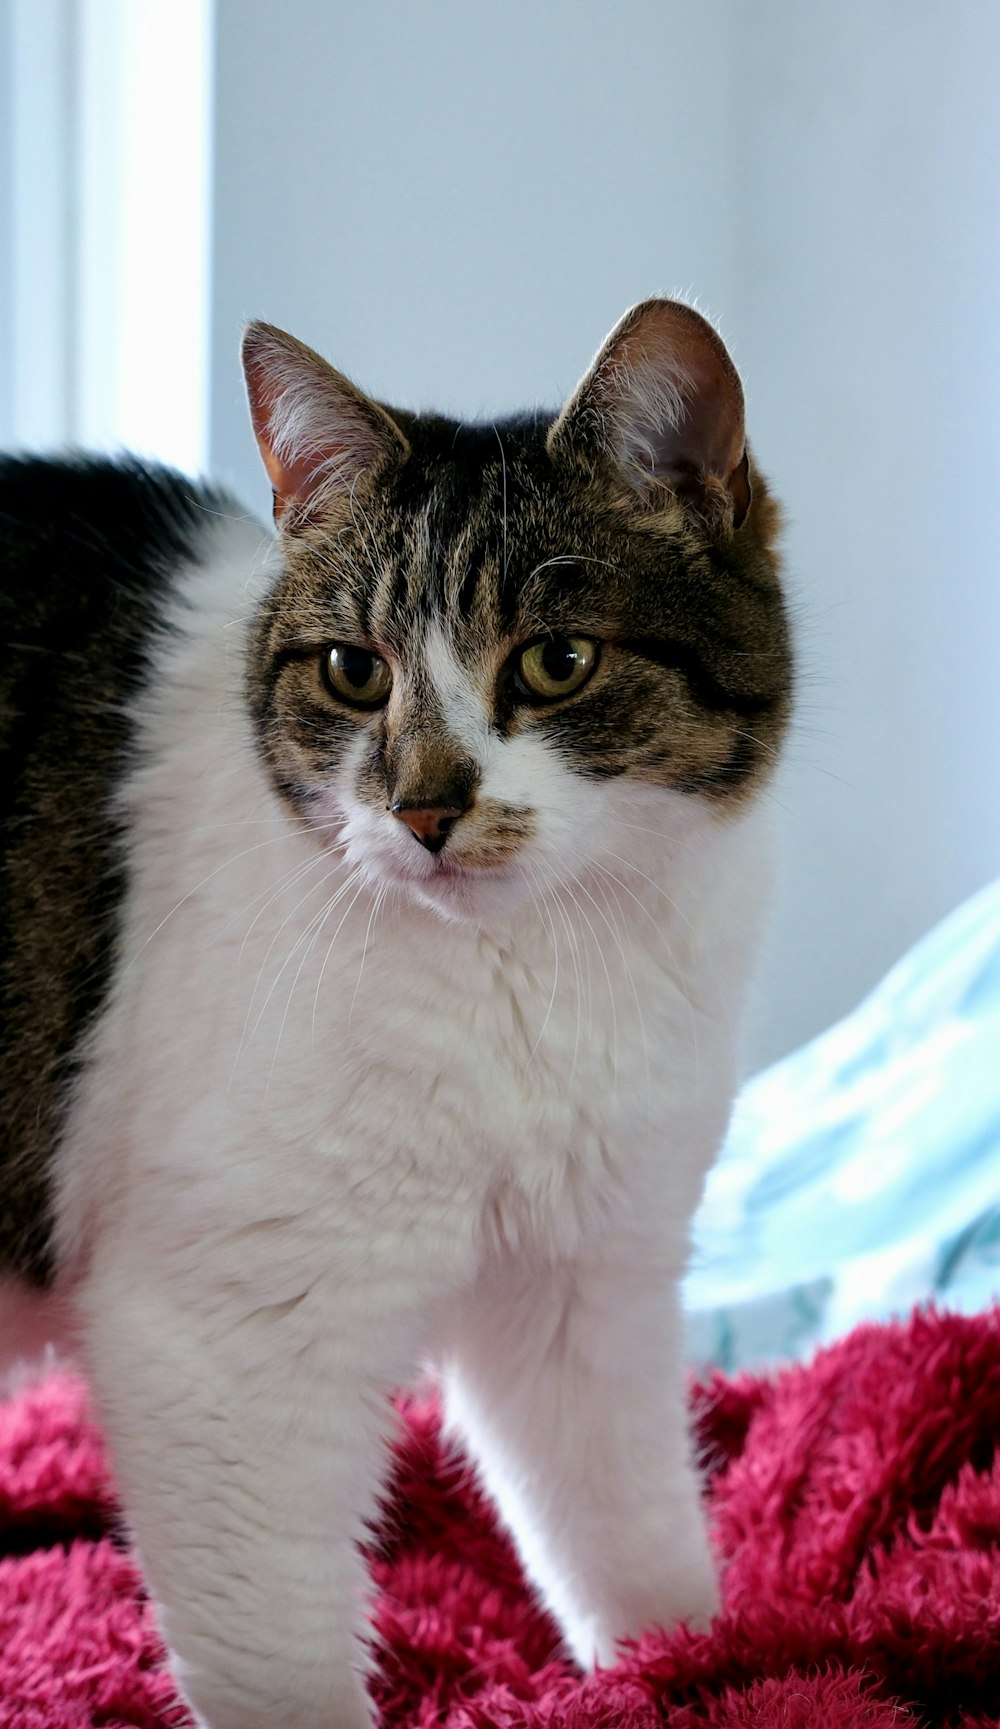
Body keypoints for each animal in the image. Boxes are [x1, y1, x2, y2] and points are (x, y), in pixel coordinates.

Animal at [0, 300, 785, 1729]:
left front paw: (694, 1672)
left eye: (557, 660)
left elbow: (630, 1535)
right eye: (352, 672)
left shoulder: (585, 1289)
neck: (523, 975)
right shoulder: (224, 1341)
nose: (423, 806)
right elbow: (286, 1663)